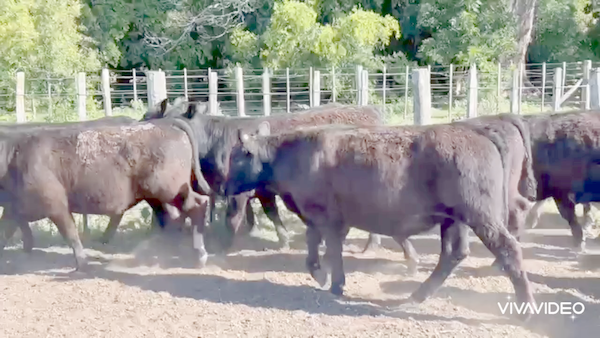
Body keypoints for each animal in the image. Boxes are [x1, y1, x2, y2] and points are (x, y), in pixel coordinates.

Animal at [223, 122, 536, 322]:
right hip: (454, 220)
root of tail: (478, 133)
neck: (291, 153)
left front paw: (334, 282)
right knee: (453, 254)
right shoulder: (320, 218)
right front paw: (320, 274)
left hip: (480, 217)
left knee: (508, 249)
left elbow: (331, 248)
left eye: (236, 157)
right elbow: (315, 245)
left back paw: (526, 309)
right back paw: (415, 297)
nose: (224, 186)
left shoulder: (328, 218)